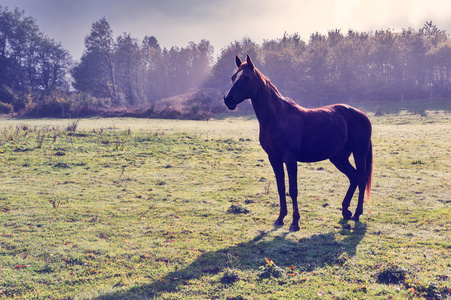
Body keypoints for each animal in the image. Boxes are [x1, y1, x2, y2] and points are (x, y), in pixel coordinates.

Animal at [223, 54, 374, 232]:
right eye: (233, 77)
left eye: (246, 78)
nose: (228, 99)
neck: (278, 117)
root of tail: (362, 115)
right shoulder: (274, 158)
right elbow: (281, 187)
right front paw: (280, 218)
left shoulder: (290, 158)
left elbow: (293, 189)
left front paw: (295, 222)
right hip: (339, 158)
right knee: (354, 178)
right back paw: (346, 211)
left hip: (359, 153)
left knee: (362, 179)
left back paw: (357, 214)